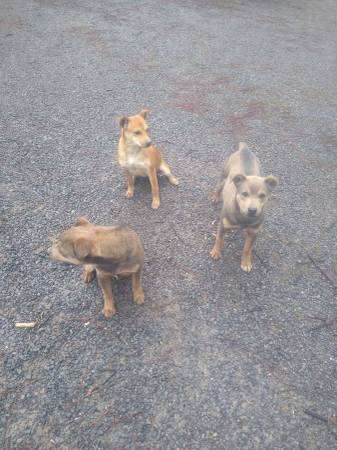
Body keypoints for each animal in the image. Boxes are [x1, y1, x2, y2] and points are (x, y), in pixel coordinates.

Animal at [210, 142, 278, 272]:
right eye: (244, 193)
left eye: (262, 195)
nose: (252, 210)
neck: (243, 217)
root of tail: (244, 149)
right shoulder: (223, 225)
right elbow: (219, 239)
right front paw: (216, 252)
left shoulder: (254, 232)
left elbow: (247, 249)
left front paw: (246, 262)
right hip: (224, 176)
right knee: (218, 187)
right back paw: (215, 197)